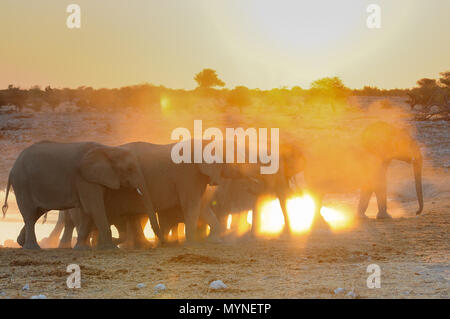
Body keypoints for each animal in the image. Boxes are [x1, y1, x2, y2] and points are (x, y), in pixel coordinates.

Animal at [0, 142, 160, 250]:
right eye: (130, 169)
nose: (158, 243)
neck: (107, 149)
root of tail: (12, 169)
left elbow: (87, 211)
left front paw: (83, 248)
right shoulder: (85, 179)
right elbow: (94, 208)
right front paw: (110, 248)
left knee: (36, 213)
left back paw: (21, 242)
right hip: (23, 184)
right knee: (29, 214)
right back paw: (32, 247)